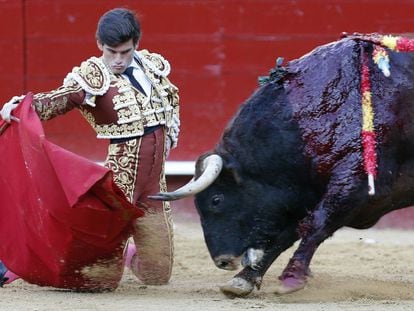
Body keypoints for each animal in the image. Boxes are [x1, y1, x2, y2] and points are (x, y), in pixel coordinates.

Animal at [150, 33, 414, 298]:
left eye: (216, 200)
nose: (222, 260)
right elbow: (285, 235)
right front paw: (243, 280)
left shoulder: (358, 186)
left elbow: (315, 224)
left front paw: (292, 278)